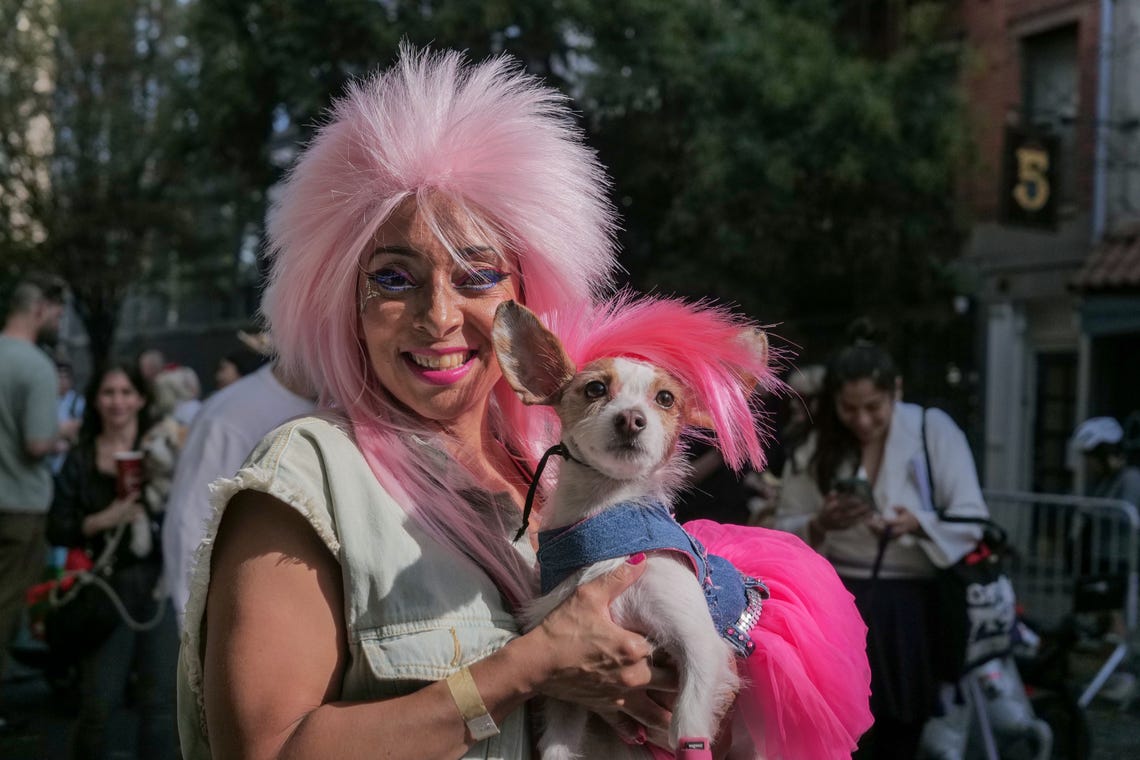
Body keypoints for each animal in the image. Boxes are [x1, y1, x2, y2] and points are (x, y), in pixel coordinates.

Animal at [493, 297, 774, 760]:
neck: (606, 526)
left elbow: (688, 729)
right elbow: (557, 747)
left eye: (666, 398)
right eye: (594, 389)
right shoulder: (572, 685)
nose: (631, 419)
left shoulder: (702, 645)